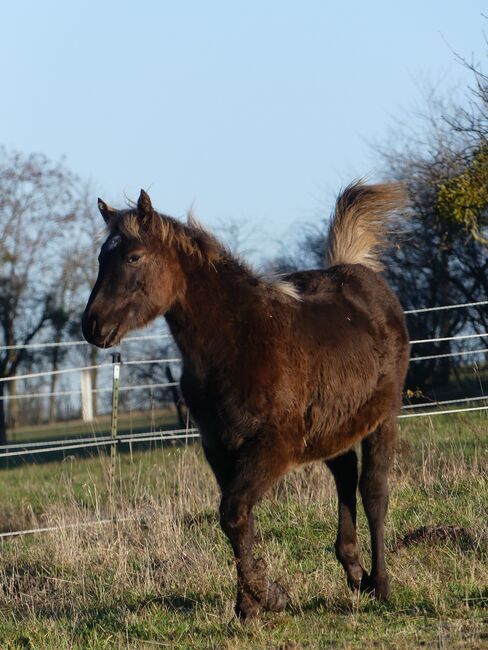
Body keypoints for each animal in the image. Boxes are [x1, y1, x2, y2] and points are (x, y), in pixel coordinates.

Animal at [83, 181, 408, 616]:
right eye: (103, 257)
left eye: (134, 257)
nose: (92, 325)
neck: (237, 341)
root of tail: (362, 275)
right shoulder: (219, 448)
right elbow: (237, 519)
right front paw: (251, 604)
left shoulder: (273, 445)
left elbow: (234, 513)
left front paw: (265, 597)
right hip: (331, 427)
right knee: (344, 476)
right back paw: (354, 572)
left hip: (383, 418)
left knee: (373, 492)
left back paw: (382, 584)